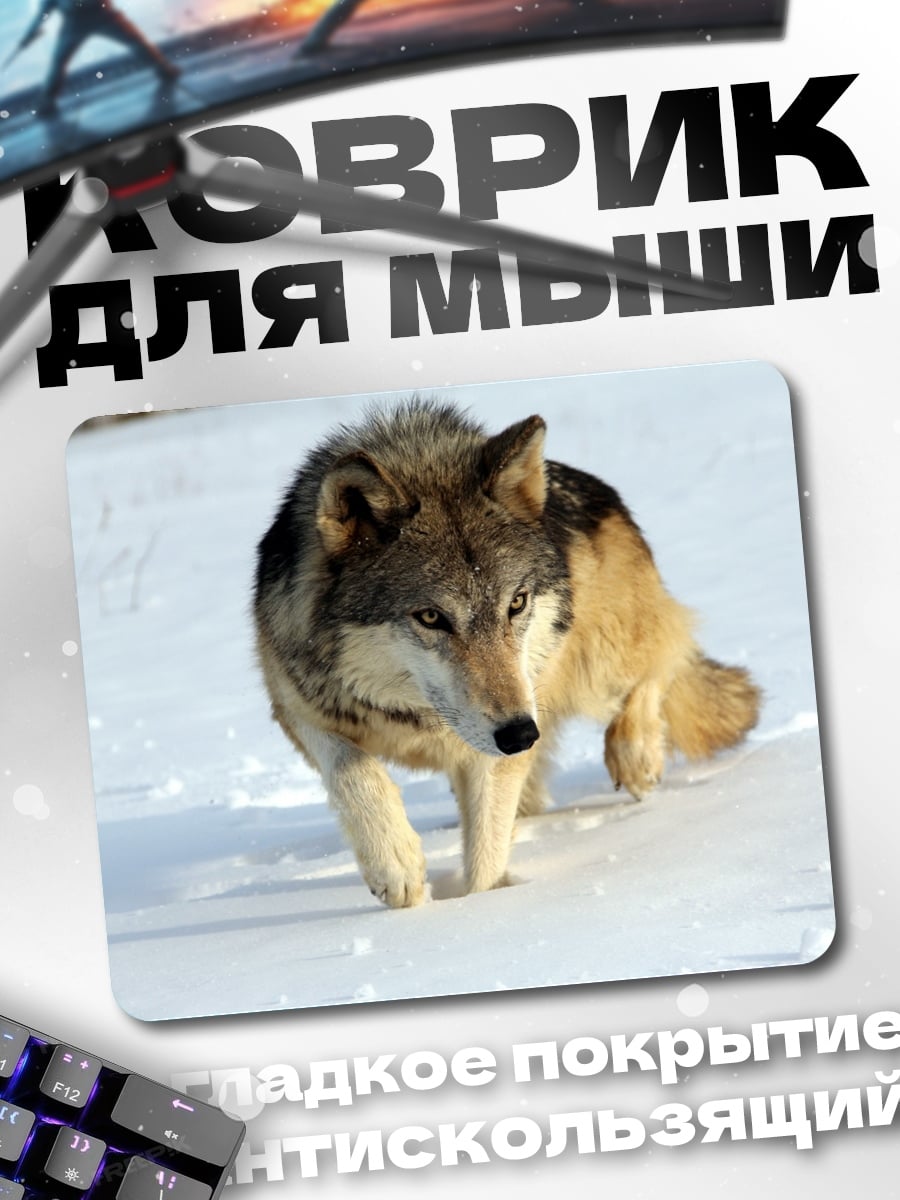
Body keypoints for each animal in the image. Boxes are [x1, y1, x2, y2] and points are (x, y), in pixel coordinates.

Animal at [253, 398, 760, 908]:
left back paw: (636, 757)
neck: (419, 720)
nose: (519, 734)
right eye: (431, 617)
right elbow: (351, 771)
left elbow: (486, 855)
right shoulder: (298, 704)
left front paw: (485, 907)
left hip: (591, 668)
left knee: (664, 657)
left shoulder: (503, 739)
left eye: (516, 602)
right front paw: (396, 865)